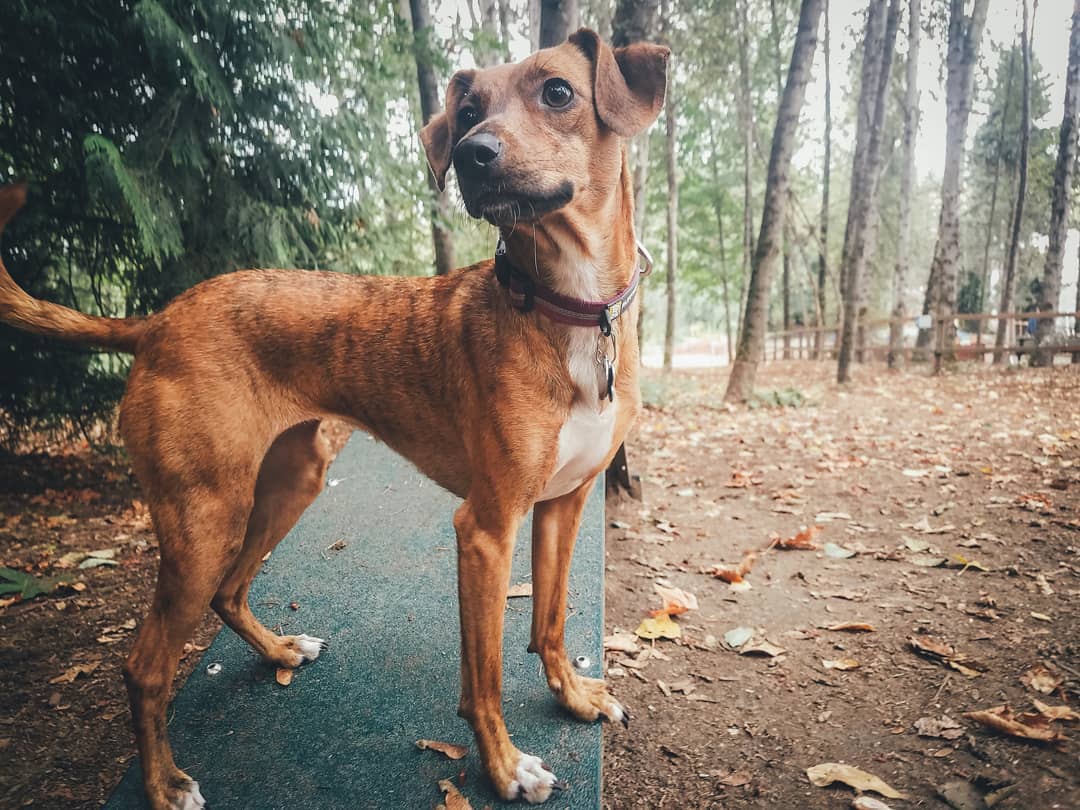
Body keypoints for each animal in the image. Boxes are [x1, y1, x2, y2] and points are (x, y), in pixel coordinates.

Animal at [0, 28, 665, 807]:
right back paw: (164, 784)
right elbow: (485, 679)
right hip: (204, 520)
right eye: (469, 111)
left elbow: (552, 622)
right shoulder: (486, 528)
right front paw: (504, 768)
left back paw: (278, 651)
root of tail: (158, 321)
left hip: (291, 482)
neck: (567, 306)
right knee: (144, 667)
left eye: (558, 93)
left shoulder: (564, 504)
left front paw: (573, 698)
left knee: (229, 592)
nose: (473, 154)